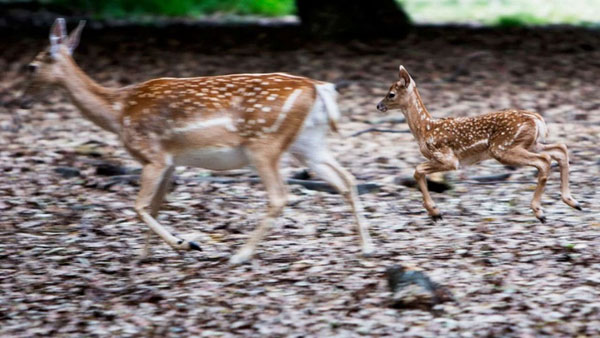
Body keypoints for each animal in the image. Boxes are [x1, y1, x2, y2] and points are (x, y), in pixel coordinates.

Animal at [30, 19, 376, 264]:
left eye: (36, 62)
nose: (28, 76)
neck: (118, 111)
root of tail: (317, 87)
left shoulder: (152, 155)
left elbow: (139, 206)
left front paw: (185, 244)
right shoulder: (171, 161)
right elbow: (155, 206)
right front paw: (147, 254)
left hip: (263, 143)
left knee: (280, 196)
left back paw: (240, 255)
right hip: (308, 143)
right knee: (347, 180)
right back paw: (366, 248)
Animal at [378, 66, 580, 224]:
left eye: (391, 94)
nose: (379, 106)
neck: (425, 129)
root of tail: (537, 119)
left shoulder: (448, 158)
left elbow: (417, 170)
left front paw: (436, 213)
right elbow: (418, 171)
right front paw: (435, 213)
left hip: (503, 148)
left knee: (544, 160)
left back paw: (540, 212)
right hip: (530, 143)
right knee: (560, 149)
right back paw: (572, 202)